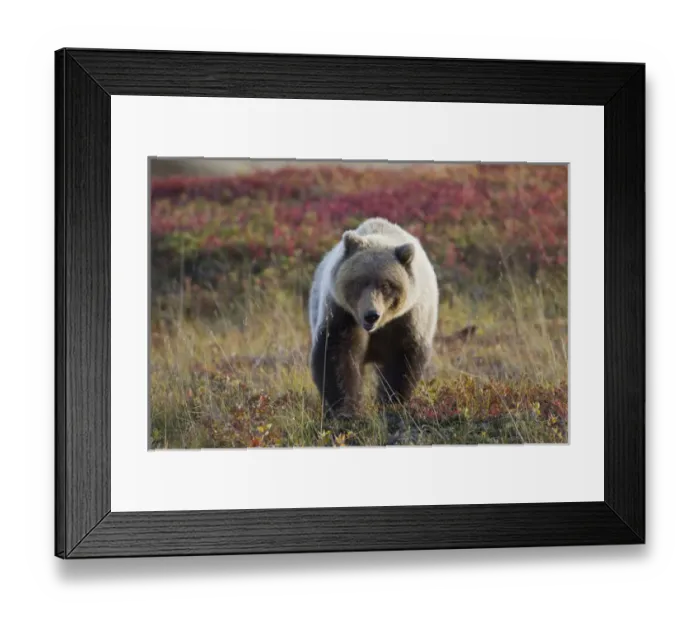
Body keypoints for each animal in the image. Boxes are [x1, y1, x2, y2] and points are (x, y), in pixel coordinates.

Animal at [308, 217, 439, 418]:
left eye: (386, 285)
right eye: (359, 282)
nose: (371, 315)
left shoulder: (408, 319)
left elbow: (403, 360)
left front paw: (392, 402)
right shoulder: (342, 314)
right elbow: (337, 356)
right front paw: (344, 408)